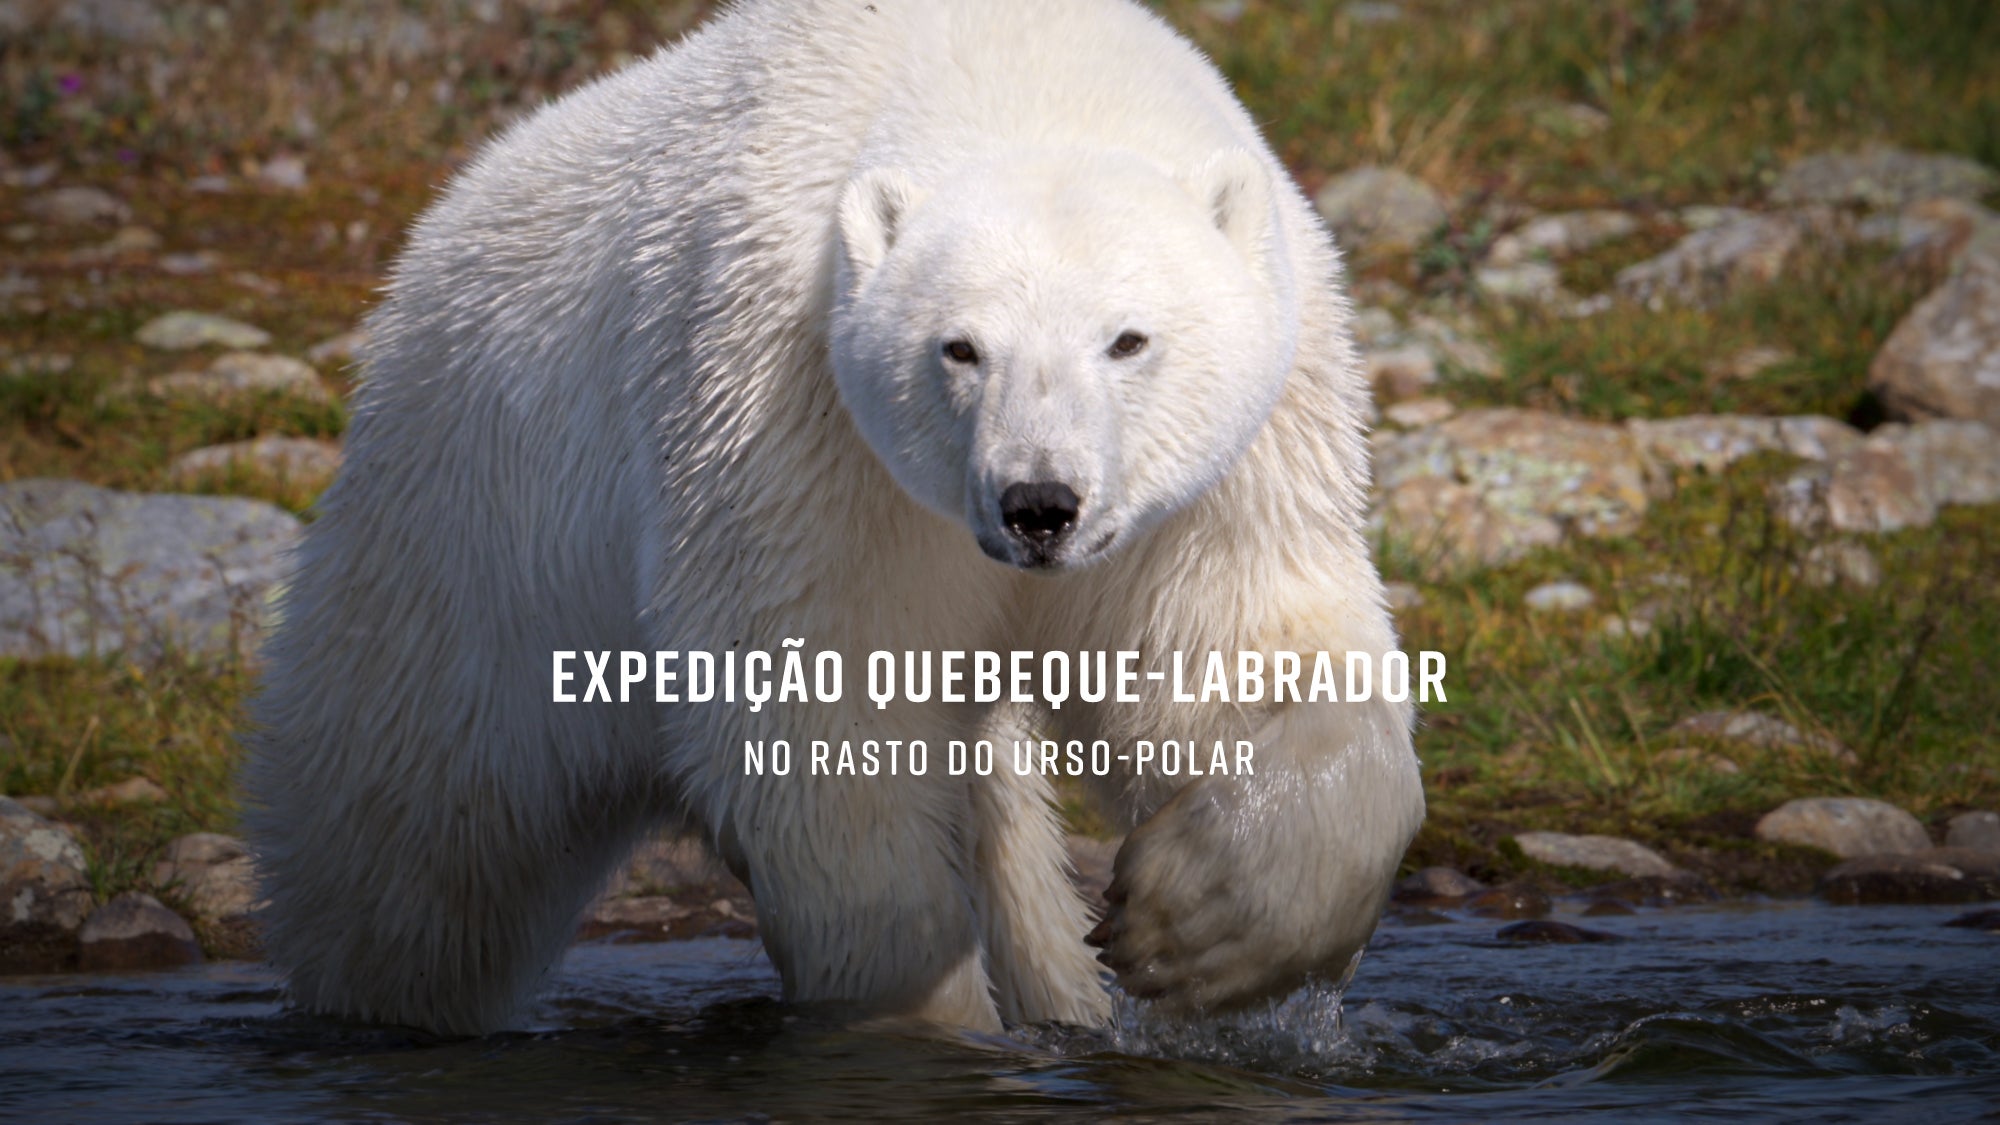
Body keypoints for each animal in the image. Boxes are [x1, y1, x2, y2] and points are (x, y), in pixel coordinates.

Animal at [243, 0, 1425, 1037]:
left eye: (1128, 339)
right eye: (960, 347)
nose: (1037, 505)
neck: (1014, 63)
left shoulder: (1226, 465)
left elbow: (1234, 648)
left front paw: (1192, 930)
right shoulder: (786, 411)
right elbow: (818, 699)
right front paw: (924, 1017)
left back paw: (1062, 992)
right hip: (472, 542)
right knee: (408, 832)